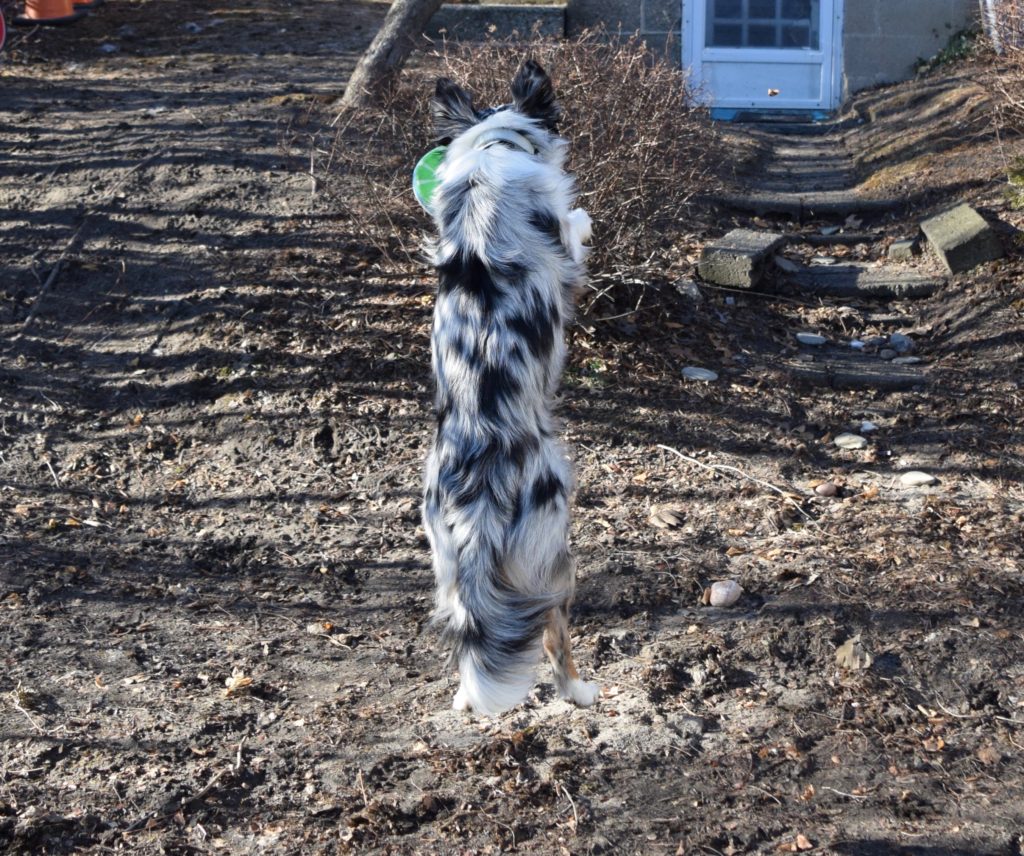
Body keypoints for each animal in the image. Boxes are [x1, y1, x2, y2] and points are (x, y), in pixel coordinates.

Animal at [421, 61, 598, 716]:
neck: (494, 146)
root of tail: (480, 497)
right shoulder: (566, 255)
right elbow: (574, 228)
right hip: (555, 556)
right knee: (552, 634)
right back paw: (580, 691)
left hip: (447, 564)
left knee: (470, 630)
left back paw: (463, 699)